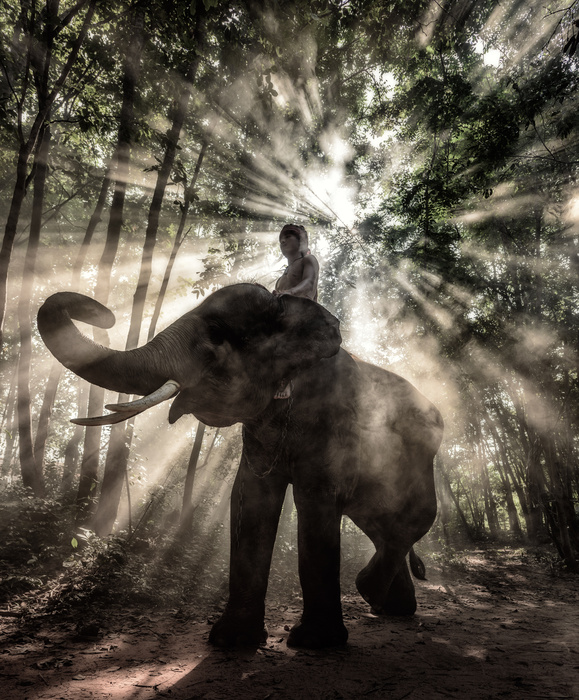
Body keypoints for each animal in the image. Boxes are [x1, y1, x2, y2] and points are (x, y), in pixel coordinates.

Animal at [37, 283, 443, 649]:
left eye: (217, 334)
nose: (104, 315)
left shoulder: (332, 418)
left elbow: (314, 501)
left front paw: (314, 643)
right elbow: (250, 498)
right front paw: (231, 640)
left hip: (421, 459)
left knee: (416, 518)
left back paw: (369, 591)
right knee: (379, 525)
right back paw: (391, 607)